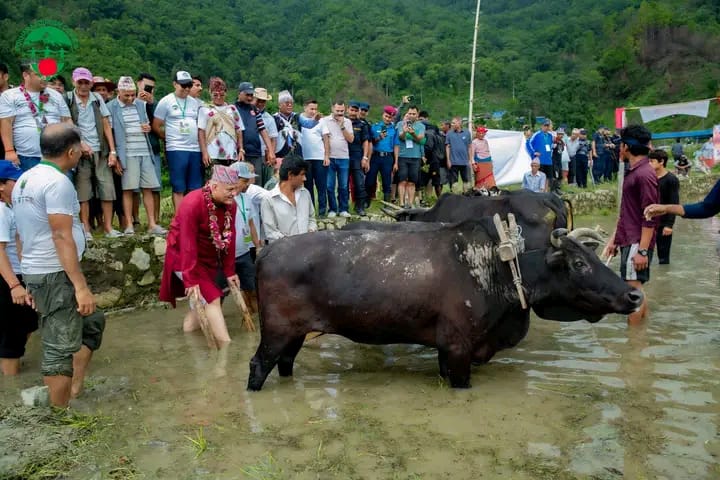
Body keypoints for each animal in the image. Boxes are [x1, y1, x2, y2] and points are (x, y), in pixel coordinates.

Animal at [249, 221, 640, 390]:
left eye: (593, 256)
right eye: (579, 263)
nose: (634, 295)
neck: (496, 271)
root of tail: (268, 249)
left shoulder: (444, 350)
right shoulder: (458, 348)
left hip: (294, 336)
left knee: (285, 364)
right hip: (275, 333)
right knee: (258, 366)